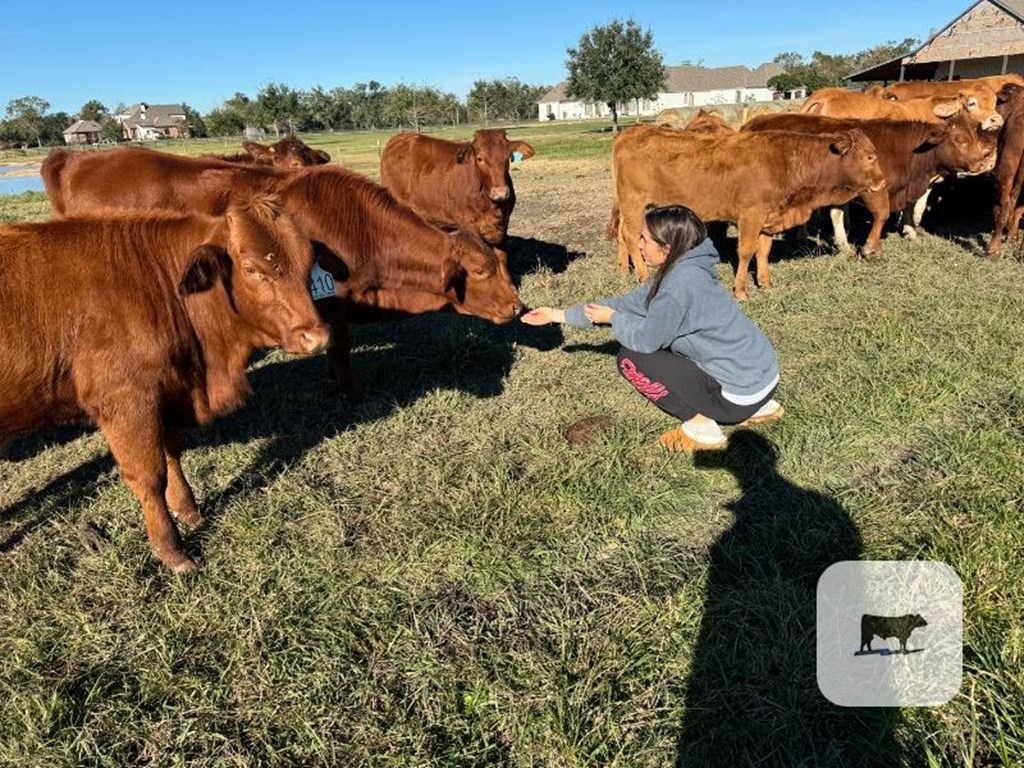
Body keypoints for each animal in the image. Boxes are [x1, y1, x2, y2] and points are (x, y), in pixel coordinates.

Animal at [0, 195, 327, 573]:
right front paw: (171, 549)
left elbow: (172, 454)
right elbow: (149, 476)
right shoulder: (126, 402)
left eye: (308, 261)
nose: (316, 337)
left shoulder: (169, 394)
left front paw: (188, 510)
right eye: (251, 269)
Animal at [39, 148, 520, 399]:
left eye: (502, 263)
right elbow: (340, 349)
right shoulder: (330, 302)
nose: (516, 307)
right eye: (480, 269)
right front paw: (348, 389)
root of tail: (75, 157)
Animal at [378, 128, 536, 243]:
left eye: (508, 157)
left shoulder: (503, 225)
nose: (501, 193)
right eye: (480, 159)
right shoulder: (468, 225)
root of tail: (401, 137)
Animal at [606, 124, 888, 299]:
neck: (787, 162)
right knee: (631, 236)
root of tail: (631, 131)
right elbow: (745, 251)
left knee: (622, 235)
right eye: (870, 157)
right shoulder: (751, 215)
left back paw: (624, 271)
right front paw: (741, 290)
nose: (882, 182)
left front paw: (765, 283)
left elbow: (763, 251)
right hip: (634, 202)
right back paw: (643, 275)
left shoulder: (769, 218)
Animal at [741, 112, 995, 253]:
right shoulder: (873, 190)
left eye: (973, 137)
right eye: (960, 140)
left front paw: (844, 245)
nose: (981, 163)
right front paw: (870, 247)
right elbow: (881, 214)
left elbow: (838, 214)